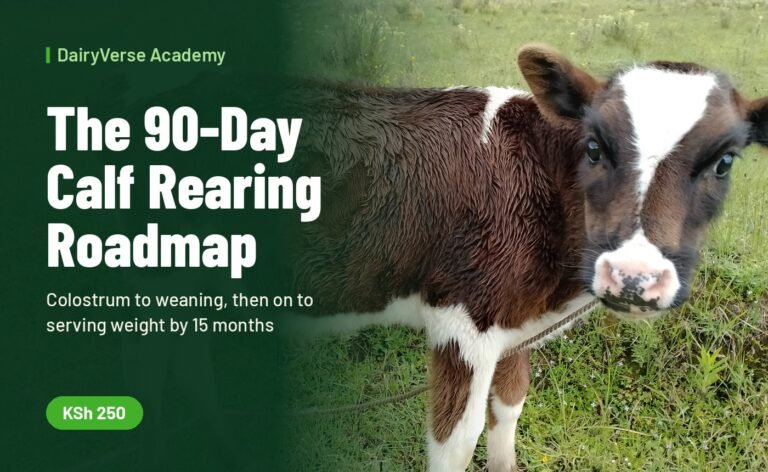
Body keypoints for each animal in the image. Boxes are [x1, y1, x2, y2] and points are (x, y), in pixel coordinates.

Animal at [289, 45, 768, 471]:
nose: (633, 278)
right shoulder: (464, 319)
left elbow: (509, 406)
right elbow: (456, 444)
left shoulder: (512, 323)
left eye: (724, 162)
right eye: (594, 148)